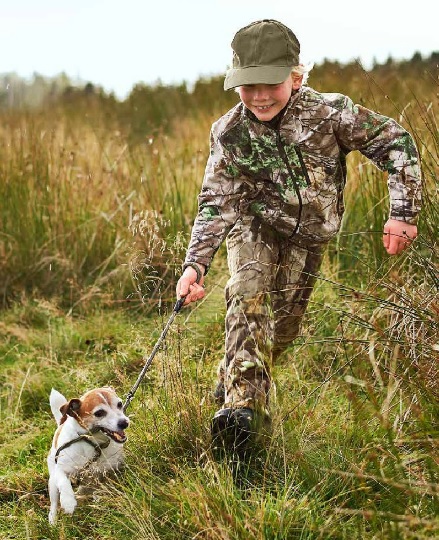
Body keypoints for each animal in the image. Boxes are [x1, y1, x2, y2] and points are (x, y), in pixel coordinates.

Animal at [49, 386, 131, 524]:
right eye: (99, 413)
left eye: (119, 404)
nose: (124, 423)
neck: (93, 442)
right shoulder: (61, 469)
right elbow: (64, 482)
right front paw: (68, 502)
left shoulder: (115, 467)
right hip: (52, 484)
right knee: (54, 504)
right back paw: (53, 521)